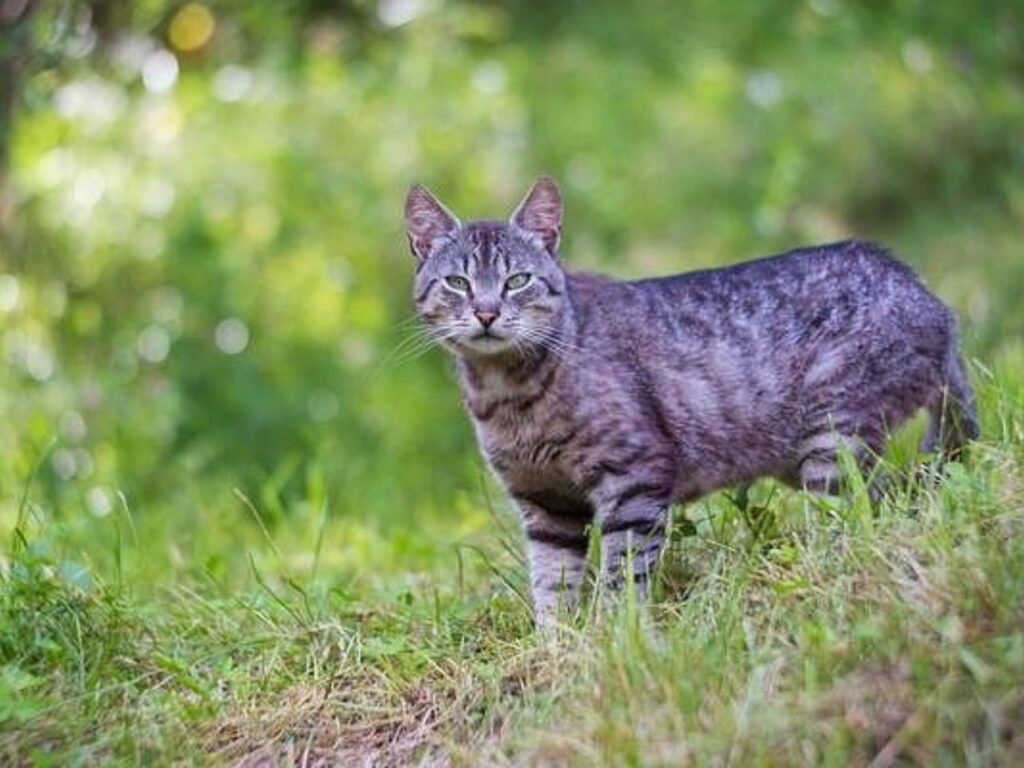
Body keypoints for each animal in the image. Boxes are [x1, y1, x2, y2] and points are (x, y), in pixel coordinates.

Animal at [403, 176, 978, 626]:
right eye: (458, 282)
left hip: (834, 438)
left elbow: (622, 575)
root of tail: (931, 299)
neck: (508, 396)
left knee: (858, 521)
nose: (486, 312)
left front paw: (618, 639)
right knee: (894, 498)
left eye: (517, 280)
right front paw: (557, 651)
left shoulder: (634, 479)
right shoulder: (544, 505)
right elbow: (552, 587)